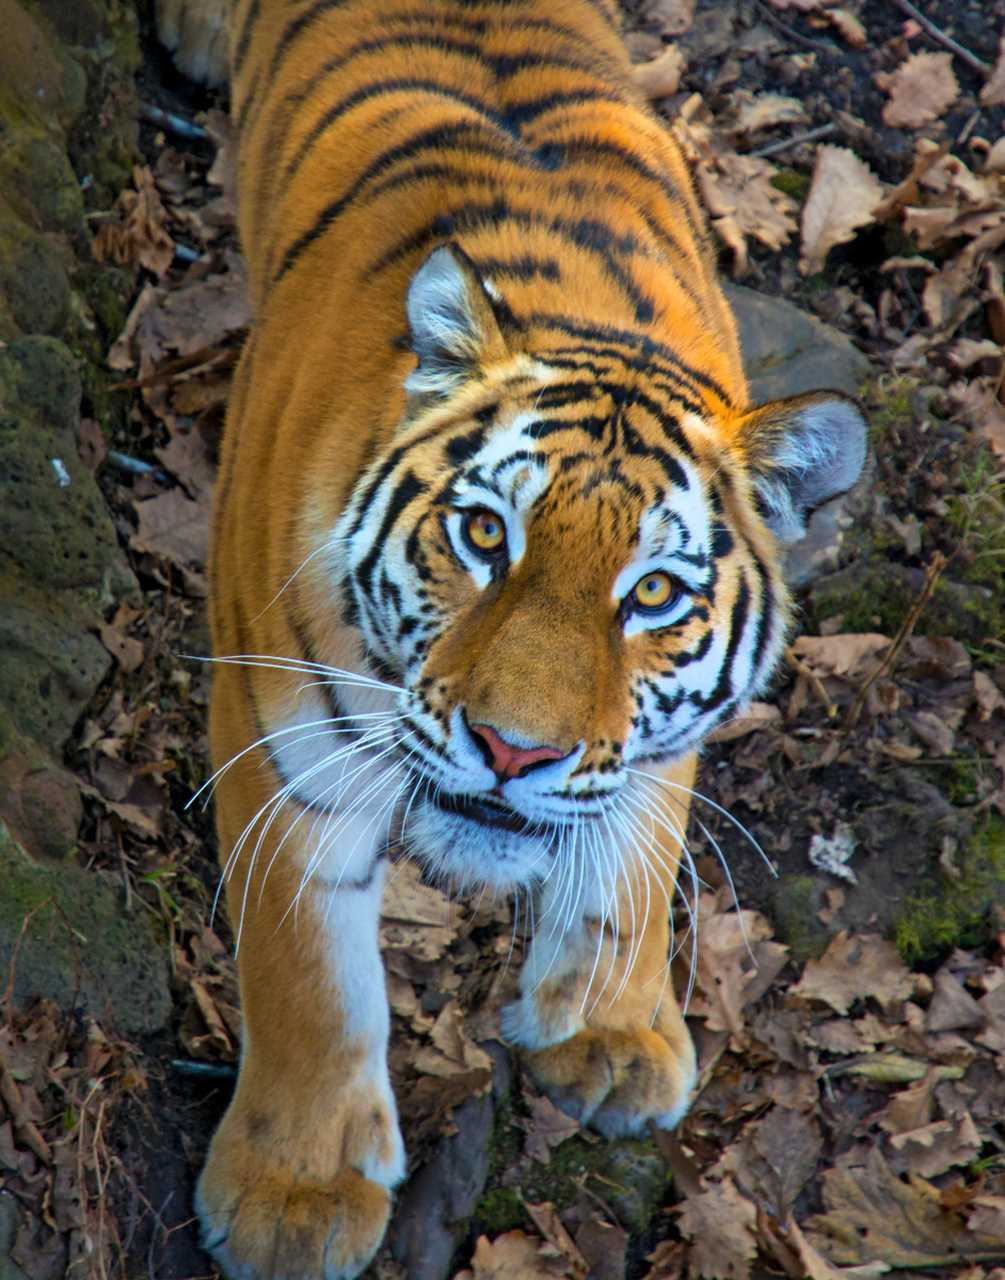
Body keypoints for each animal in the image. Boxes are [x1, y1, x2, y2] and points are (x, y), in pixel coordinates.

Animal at [149, 0, 860, 1274]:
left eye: (654, 594)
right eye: (485, 532)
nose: (514, 751)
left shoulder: (651, 739)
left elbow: (639, 850)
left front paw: (611, 1030)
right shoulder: (284, 736)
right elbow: (307, 971)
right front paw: (294, 1194)